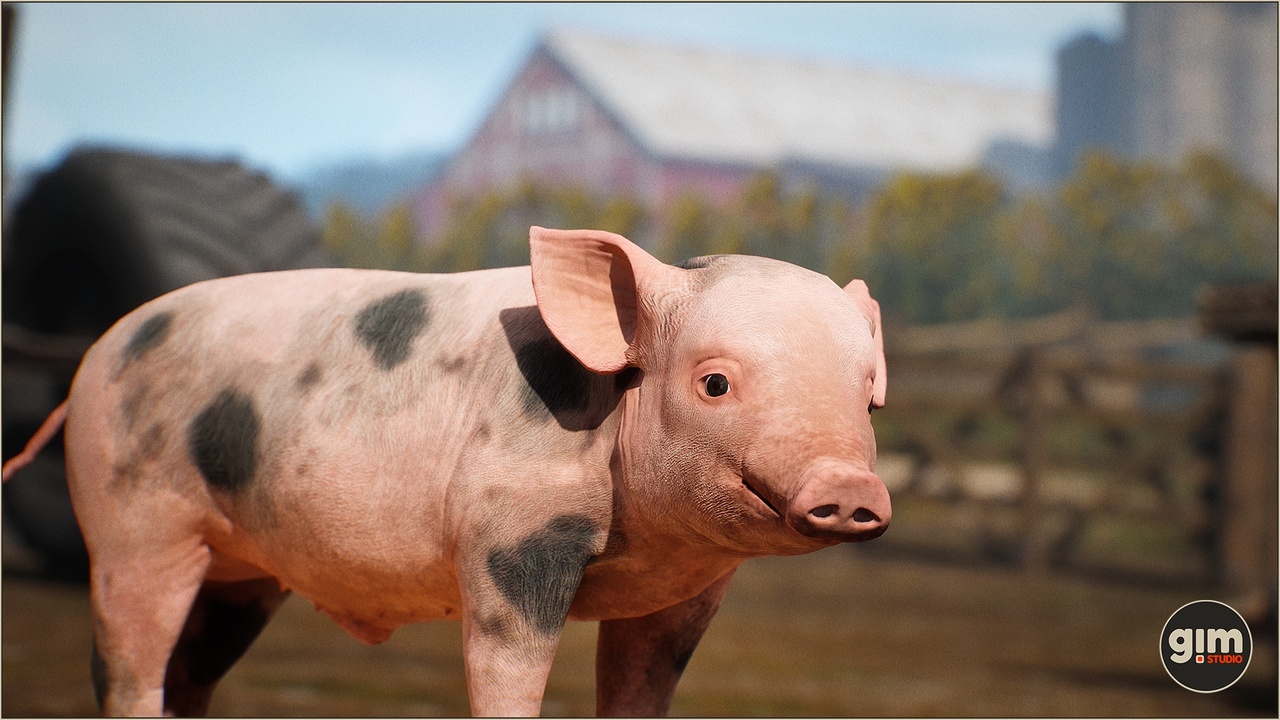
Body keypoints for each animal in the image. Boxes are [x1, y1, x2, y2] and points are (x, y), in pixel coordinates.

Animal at [2, 226, 889, 717]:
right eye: (715, 384)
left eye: (867, 394)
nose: (849, 491)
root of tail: (89, 362)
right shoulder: (508, 537)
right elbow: (507, 666)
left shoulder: (687, 591)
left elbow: (642, 686)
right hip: (131, 519)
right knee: (127, 664)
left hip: (237, 570)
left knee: (190, 672)